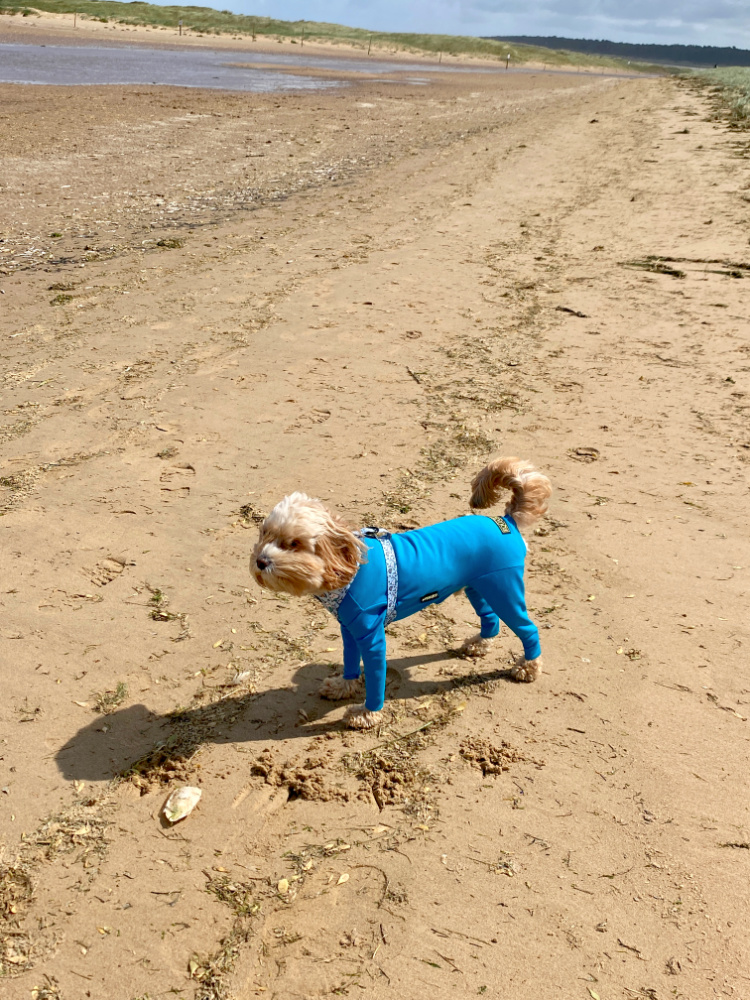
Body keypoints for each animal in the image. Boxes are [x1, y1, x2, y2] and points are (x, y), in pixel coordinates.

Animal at [253, 458, 552, 732]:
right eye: (265, 534)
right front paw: (342, 686)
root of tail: (506, 520)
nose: (260, 561)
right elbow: (350, 662)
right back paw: (479, 645)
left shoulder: (372, 638)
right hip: (478, 588)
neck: (349, 568)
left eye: (294, 543)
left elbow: (375, 681)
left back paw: (528, 667)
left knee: (529, 629)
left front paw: (366, 714)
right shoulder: (349, 630)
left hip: (504, 590)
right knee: (490, 619)